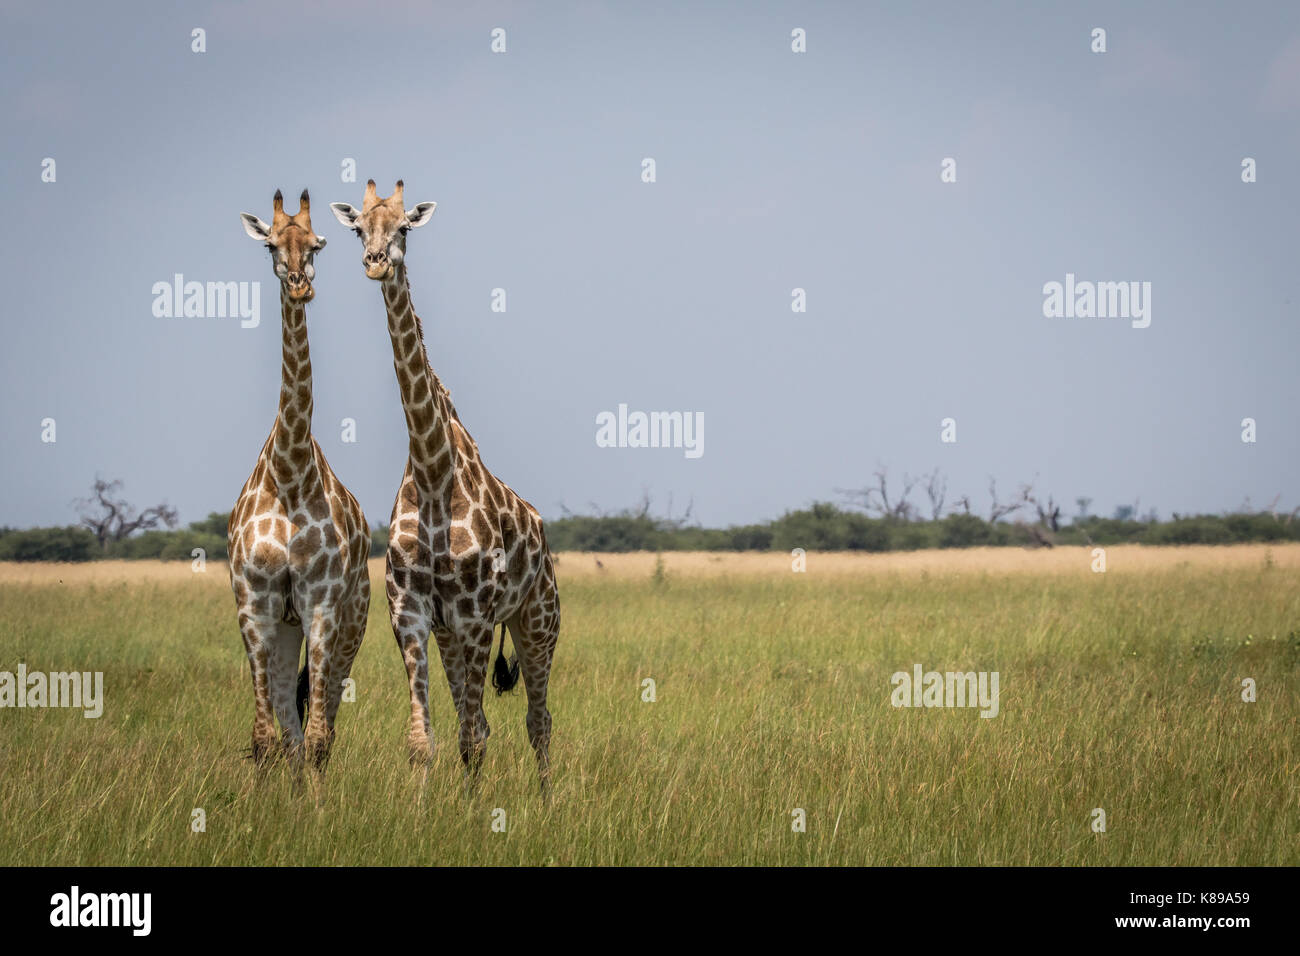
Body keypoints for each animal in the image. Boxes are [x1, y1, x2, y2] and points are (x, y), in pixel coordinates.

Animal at [330, 180, 559, 790]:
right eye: (358, 228)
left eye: (404, 226)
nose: (375, 262)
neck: (433, 473)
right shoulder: (409, 610)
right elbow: (425, 741)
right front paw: (430, 804)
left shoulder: (477, 615)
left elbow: (473, 738)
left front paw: (473, 809)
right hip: (456, 633)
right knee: (480, 721)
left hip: (537, 620)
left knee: (537, 721)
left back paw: (548, 799)